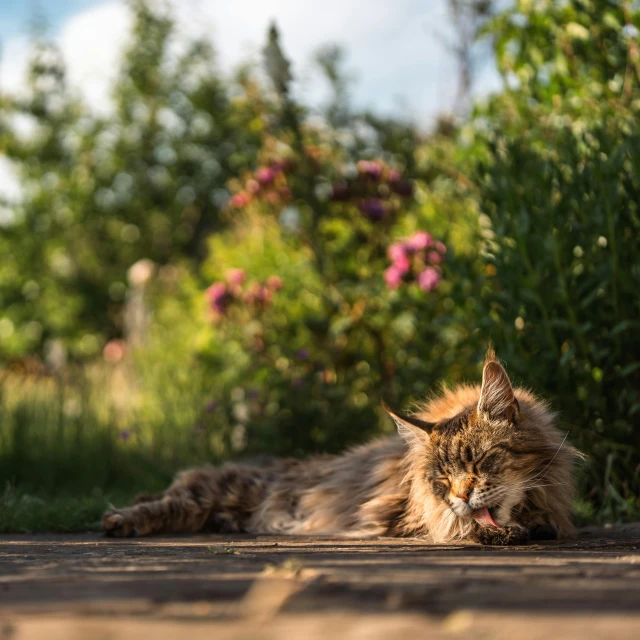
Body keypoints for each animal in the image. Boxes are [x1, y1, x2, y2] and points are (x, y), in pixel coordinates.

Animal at [102, 350, 576, 544]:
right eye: (443, 480)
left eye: (479, 461)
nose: (461, 494)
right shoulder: (406, 513)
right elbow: (456, 525)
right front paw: (497, 529)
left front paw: (530, 526)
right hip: (218, 492)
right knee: (170, 499)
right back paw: (119, 519)